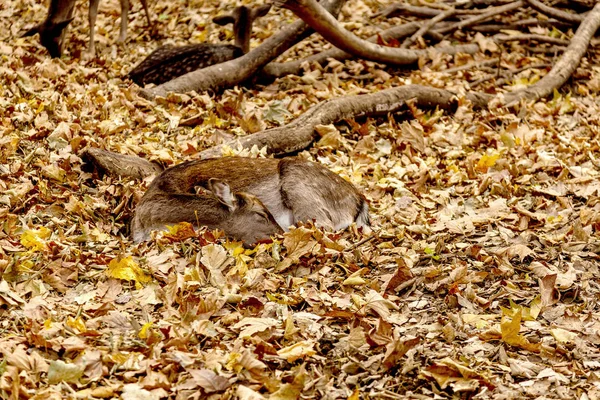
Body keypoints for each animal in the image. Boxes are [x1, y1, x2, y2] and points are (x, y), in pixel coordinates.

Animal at [24, 0, 152, 57]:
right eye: (43, 43)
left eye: (56, 40)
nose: (56, 57)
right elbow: (68, 18)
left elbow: (91, 16)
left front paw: (90, 52)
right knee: (125, 3)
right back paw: (122, 36)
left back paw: (151, 27)